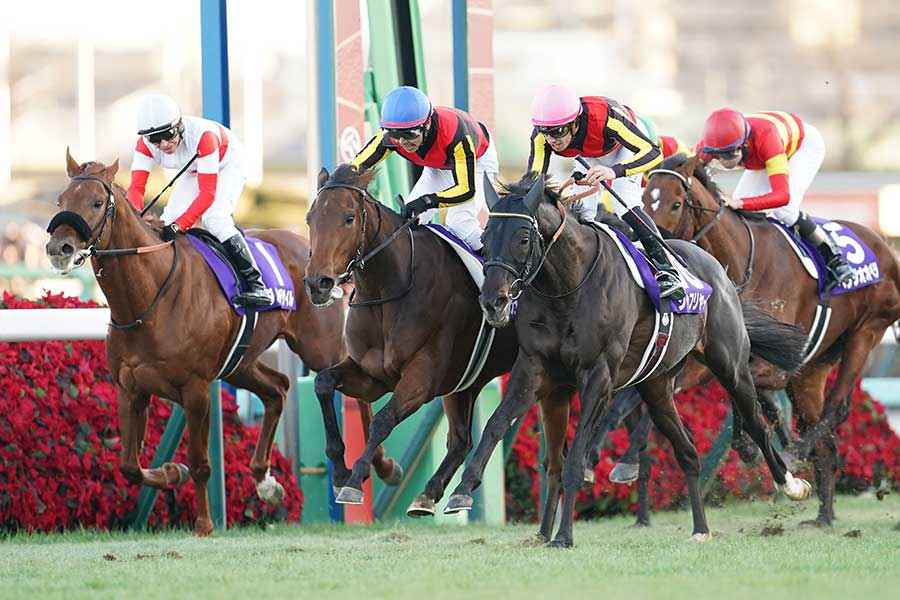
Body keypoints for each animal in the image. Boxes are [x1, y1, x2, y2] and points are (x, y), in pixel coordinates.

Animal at [42, 152, 394, 536]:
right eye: (60, 201)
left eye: (95, 202)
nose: (59, 248)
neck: (148, 298)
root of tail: (312, 251)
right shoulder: (130, 388)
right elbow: (129, 466)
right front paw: (171, 472)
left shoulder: (195, 389)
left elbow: (200, 462)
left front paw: (203, 523)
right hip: (240, 362)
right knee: (278, 389)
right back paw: (266, 482)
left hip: (320, 348)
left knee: (354, 391)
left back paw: (381, 465)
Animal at [302, 164, 520, 516]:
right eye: (310, 218)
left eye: (349, 218)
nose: (317, 283)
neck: (390, 289)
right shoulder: (372, 376)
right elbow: (323, 383)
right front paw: (340, 472)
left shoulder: (421, 379)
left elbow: (382, 420)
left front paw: (356, 480)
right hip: (464, 384)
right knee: (461, 441)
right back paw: (430, 494)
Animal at [442, 175, 808, 548]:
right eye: (485, 237)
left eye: (523, 238)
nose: (493, 302)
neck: (568, 286)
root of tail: (717, 270)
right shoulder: (535, 369)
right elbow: (496, 425)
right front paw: (461, 490)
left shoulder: (598, 377)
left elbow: (575, 456)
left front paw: (563, 536)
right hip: (656, 387)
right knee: (687, 450)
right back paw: (700, 528)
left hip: (729, 365)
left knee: (757, 423)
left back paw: (791, 484)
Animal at [644, 154, 900, 524]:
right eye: (643, 196)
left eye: (676, 203)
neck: (741, 261)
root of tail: (885, 247)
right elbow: (748, 397)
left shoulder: (769, 363)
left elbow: (744, 393)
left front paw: (756, 448)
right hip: (813, 369)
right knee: (825, 434)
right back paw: (822, 515)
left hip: (866, 332)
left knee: (835, 407)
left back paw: (800, 455)